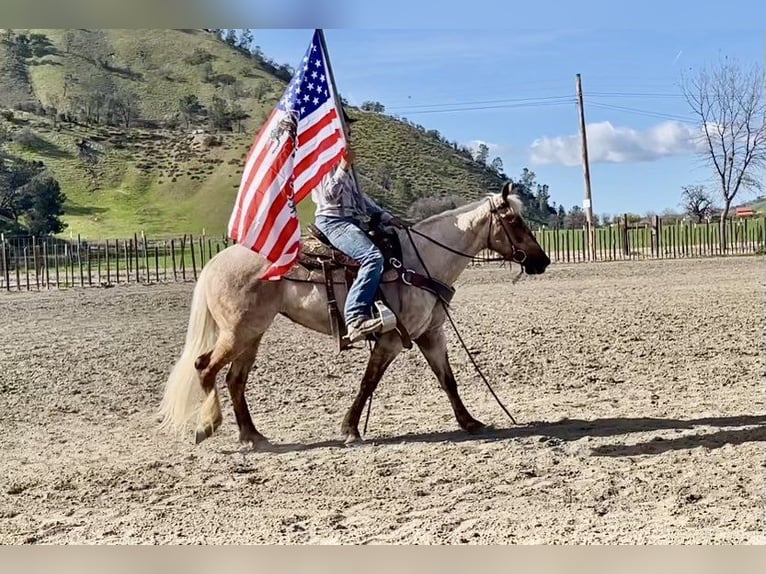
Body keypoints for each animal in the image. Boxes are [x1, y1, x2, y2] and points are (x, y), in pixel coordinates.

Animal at [158, 184, 552, 450]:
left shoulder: (431, 334)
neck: (420, 260)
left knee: (234, 380)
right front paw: (350, 429)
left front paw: (470, 421)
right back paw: (209, 425)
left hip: (252, 334)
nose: (542, 261)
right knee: (205, 367)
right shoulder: (391, 340)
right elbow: (368, 383)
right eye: (515, 221)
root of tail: (214, 262)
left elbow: (448, 381)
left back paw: (253, 436)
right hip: (238, 332)